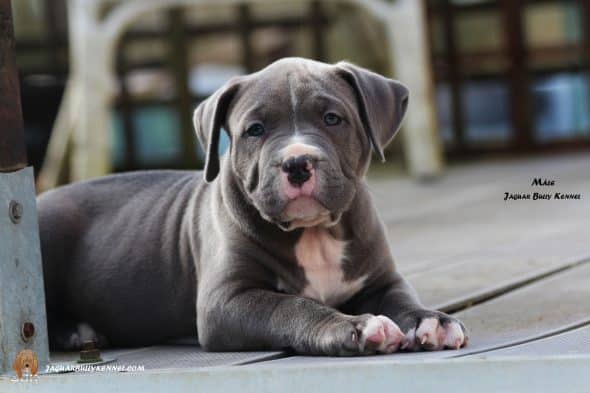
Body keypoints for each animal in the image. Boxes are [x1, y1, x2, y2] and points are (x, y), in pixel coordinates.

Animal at [39, 59, 470, 356]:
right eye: (255, 130)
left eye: (333, 118)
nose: (297, 162)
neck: (313, 233)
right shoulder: (227, 301)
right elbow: (293, 307)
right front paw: (356, 328)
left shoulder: (380, 279)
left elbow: (402, 299)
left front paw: (432, 321)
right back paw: (77, 331)